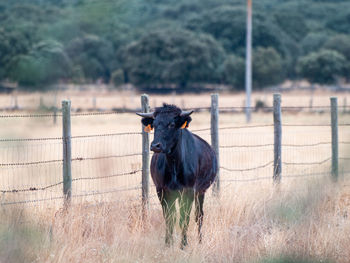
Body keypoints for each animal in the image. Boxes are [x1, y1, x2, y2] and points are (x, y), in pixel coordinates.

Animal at [136, 104, 216, 249]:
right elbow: (169, 218)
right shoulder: (162, 190)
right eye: (154, 124)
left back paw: (200, 240)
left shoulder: (189, 191)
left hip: (201, 191)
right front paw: (168, 243)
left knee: (199, 215)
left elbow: (185, 218)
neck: (174, 164)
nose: (155, 145)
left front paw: (183, 245)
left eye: (172, 124)